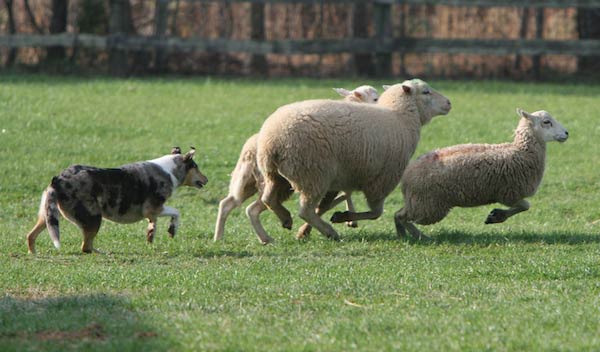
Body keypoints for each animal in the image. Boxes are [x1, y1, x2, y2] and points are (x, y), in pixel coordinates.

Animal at [213, 85, 378, 245]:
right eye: (375, 98)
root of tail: (249, 150)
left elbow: (342, 196)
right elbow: (336, 199)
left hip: (248, 182)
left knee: (231, 204)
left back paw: (223, 237)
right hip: (282, 182)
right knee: (256, 206)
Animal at [253, 78, 450, 241]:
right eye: (426, 92)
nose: (449, 103)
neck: (400, 117)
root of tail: (273, 140)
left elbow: (330, 204)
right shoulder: (381, 180)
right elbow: (376, 213)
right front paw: (342, 217)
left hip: (274, 174)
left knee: (268, 199)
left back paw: (285, 218)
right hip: (313, 173)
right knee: (305, 210)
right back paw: (329, 232)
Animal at [396, 108, 568, 239]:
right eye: (546, 122)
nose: (566, 133)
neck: (522, 152)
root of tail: (407, 175)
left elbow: (524, 206)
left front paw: (495, 216)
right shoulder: (508, 193)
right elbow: (525, 205)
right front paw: (495, 216)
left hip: (419, 202)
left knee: (398, 214)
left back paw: (404, 236)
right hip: (428, 205)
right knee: (402, 216)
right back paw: (418, 236)